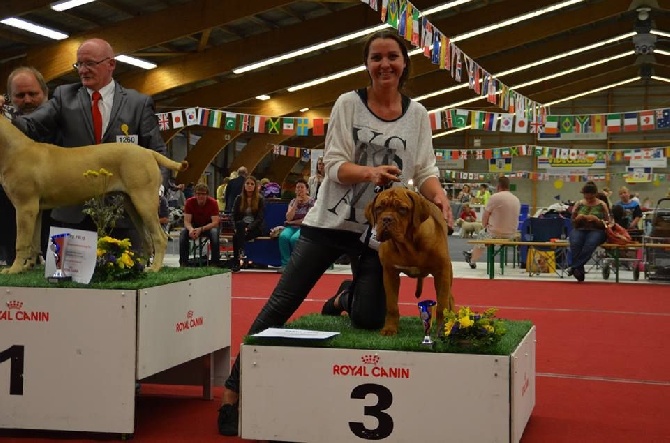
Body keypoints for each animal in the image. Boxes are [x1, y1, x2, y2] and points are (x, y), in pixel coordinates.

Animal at [0, 115, 188, 274]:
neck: (12, 149)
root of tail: (148, 151)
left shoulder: (25, 208)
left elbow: (21, 241)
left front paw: (14, 269)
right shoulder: (35, 210)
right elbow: (33, 241)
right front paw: (27, 267)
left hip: (144, 202)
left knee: (160, 237)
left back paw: (154, 268)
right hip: (133, 205)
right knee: (147, 239)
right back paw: (139, 266)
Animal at [368, 187, 456, 336]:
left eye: (402, 209)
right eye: (379, 208)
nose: (386, 219)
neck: (408, 244)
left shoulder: (442, 273)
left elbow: (441, 306)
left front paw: (443, 330)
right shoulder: (390, 274)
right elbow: (392, 306)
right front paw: (390, 328)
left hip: (448, 275)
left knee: (450, 299)